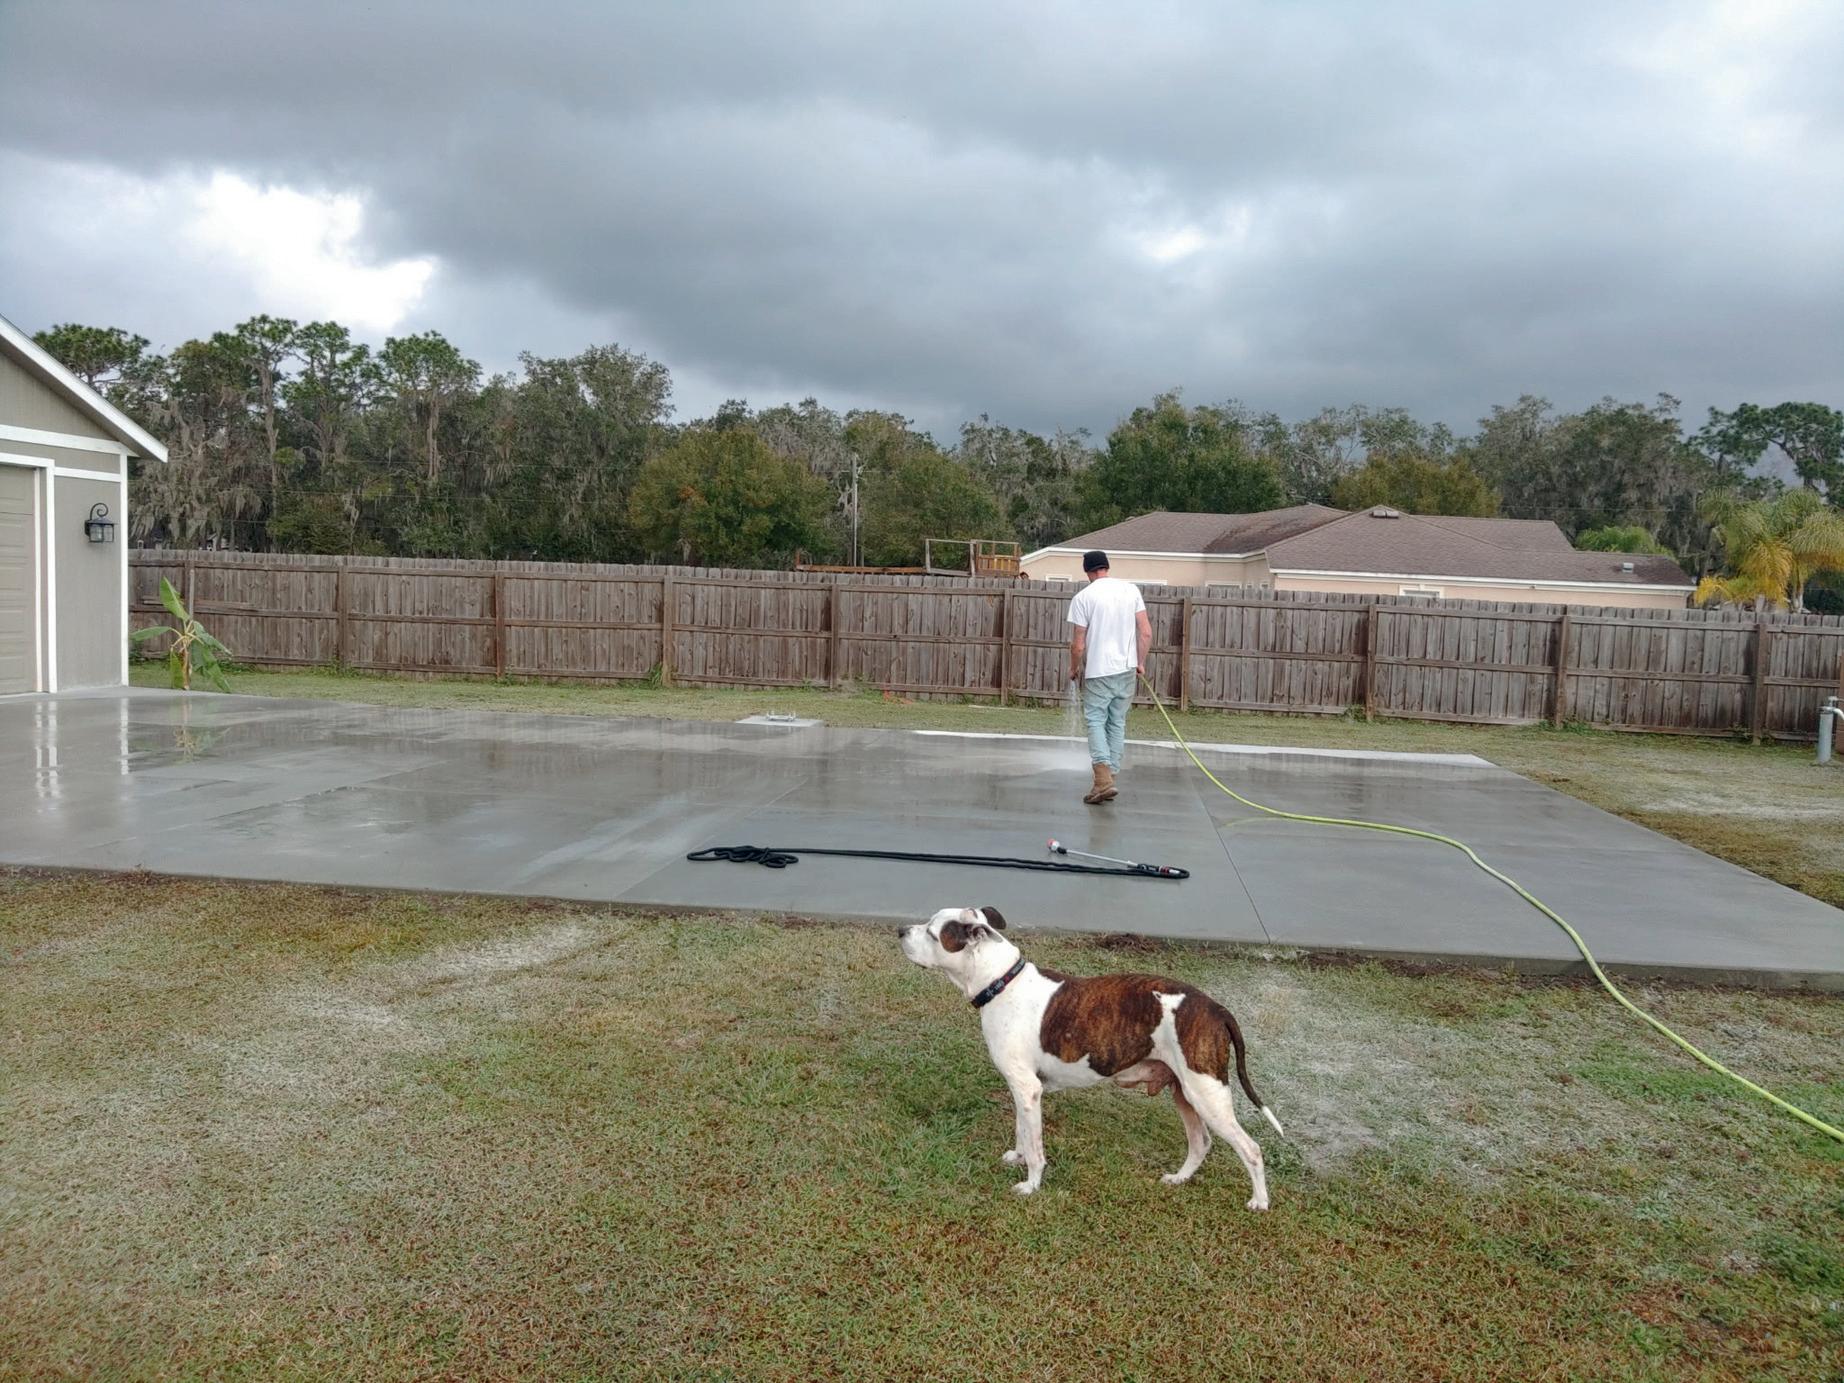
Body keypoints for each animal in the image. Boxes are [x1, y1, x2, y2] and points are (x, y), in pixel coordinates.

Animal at [899, 906, 1283, 1208]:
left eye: (933, 933)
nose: (901, 931)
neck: (1002, 982)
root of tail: (1216, 1008)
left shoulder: (1027, 1088)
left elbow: (1036, 1147)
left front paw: (1031, 1184)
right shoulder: (1022, 1090)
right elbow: (1023, 1130)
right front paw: (1017, 1157)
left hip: (1207, 1095)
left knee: (1251, 1148)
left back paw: (1260, 1201)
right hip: (1185, 1093)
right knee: (1201, 1142)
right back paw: (1179, 1179)